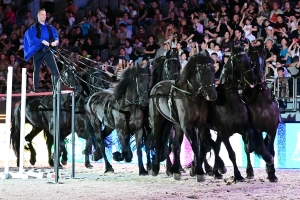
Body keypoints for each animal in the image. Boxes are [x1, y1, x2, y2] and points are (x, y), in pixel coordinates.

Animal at [148, 50, 217, 182]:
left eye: (213, 70)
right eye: (202, 72)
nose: (212, 95)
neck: (192, 97)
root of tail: (156, 87)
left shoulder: (200, 125)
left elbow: (201, 145)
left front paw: (198, 169)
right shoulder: (187, 125)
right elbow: (195, 145)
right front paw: (199, 172)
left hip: (174, 124)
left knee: (174, 145)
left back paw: (175, 170)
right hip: (158, 122)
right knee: (159, 142)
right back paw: (155, 168)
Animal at [244, 44, 282, 182]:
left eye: (264, 58)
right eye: (251, 59)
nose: (260, 76)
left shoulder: (272, 129)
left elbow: (271, 149)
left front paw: (272, 173)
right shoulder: (257, 129)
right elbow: (259, 146)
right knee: (247, 149)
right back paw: (249, 171)